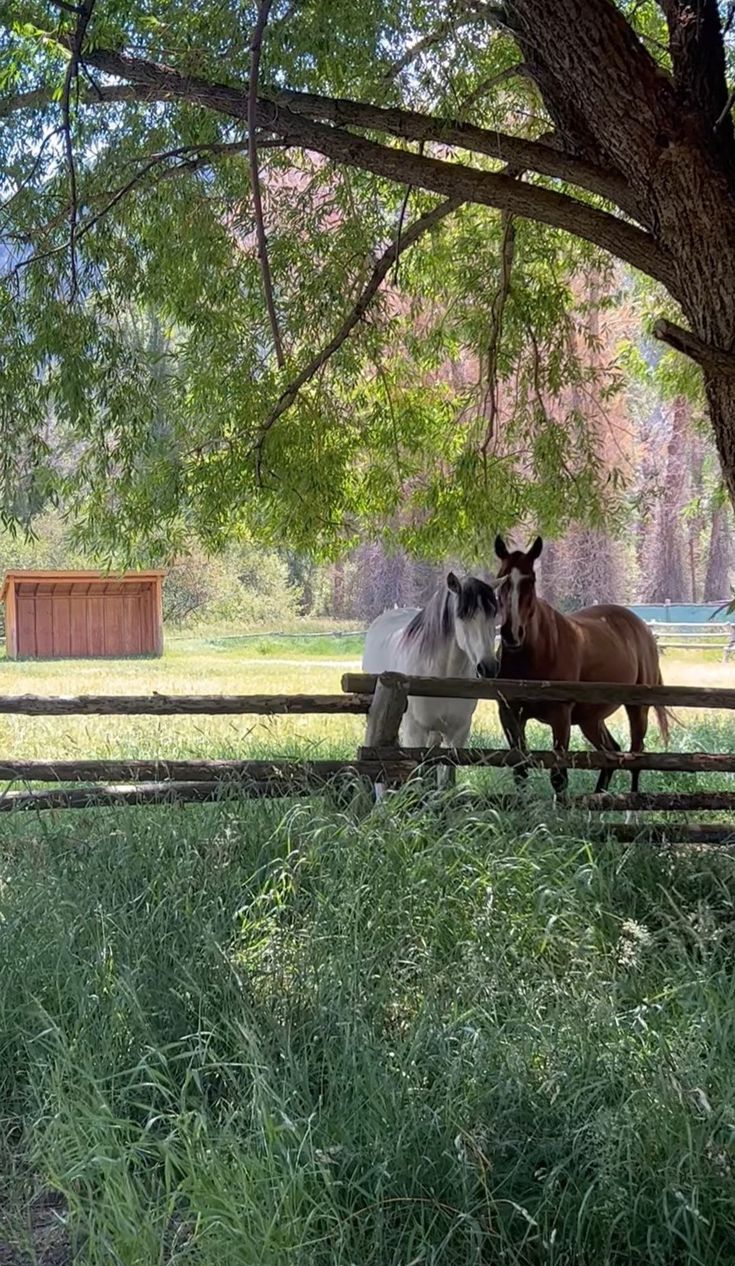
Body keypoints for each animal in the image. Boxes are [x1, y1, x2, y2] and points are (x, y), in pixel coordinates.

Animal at [361, 577, 500, 779]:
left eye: (493, 614)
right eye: (463, 615)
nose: (488, 666)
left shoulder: (458, 732)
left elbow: (446, 774)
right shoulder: (415, 731)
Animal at [490, 534, 667, 789]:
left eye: (530, 580)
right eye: (500, 578)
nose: (511, 633)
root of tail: (641, 627)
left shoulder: (560, 717)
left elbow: (559, 777)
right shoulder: (510, 715)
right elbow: (520, 771)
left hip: (637, 709)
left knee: (636, 756)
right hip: (590, 719)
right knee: (611, 752)